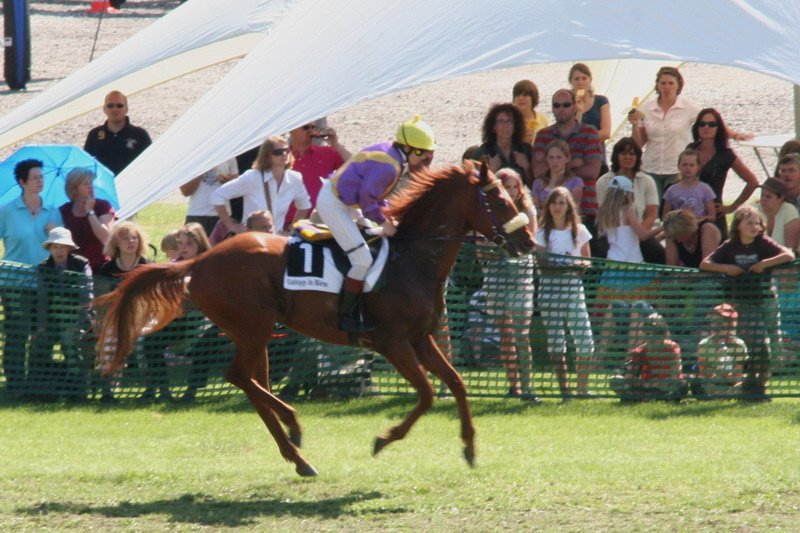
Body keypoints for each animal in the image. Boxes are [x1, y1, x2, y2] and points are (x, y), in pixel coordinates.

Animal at [95, 160, 535, 477]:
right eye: (498, 200)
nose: (528, 240)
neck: (413, 259)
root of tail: (199, 261)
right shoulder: (392, 342)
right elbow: (427, 393)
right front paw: (384, 439)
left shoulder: (420, 339)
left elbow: (456, 383)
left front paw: (470, 446)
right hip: (253, 328)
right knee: (239, 377)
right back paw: (294, 424)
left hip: (255, 334)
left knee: (254, 382)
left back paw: (296, 450)